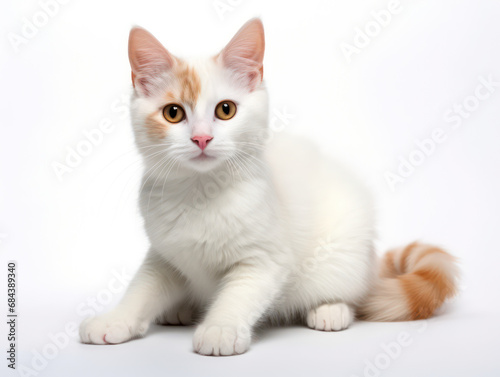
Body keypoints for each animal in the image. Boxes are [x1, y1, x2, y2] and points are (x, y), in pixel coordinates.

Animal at [80, 18, 458, 356]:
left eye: (226, 110)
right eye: (173, 113)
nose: (201, 138)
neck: (201, 192)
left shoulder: (265, 259)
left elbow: (239, 294)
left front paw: (220, 328)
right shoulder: (164, 254)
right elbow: (142, 287)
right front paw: (115, 320)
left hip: (343, 251)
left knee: (350, 293)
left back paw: (330, 310)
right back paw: (179, 310)